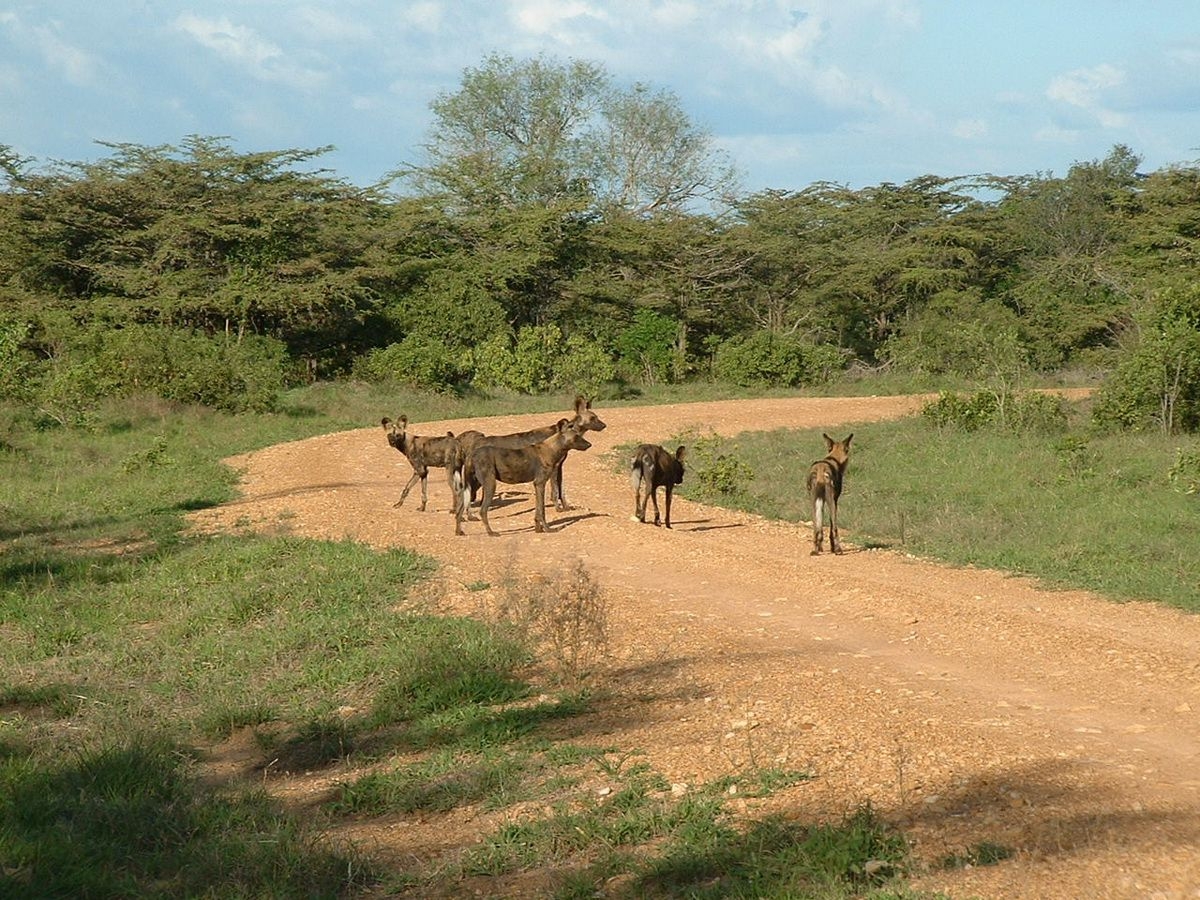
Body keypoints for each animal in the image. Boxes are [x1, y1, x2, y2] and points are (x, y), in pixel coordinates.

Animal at [453, 396, 604, 513]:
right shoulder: (554, 468)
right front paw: (558, 508)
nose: (604, 425)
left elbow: (561, 490)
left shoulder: (559, 467)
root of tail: (477, 442)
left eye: (596, 417)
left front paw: (566, 507)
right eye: (593, 418)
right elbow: (556, 491)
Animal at [456, 422, 592, 540]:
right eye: (576, 437)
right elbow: (542, 511)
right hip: (489, 485)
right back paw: (491, 532)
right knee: (483, 511)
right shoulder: (540, 483)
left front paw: (538, 529)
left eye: (580, 435)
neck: (552, 449)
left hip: (473, 487)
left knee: (460, 509)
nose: (589, 444)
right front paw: (547, 529)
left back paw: (459, 531)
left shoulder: (537, 485)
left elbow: (538, 510)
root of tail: (472, 454)